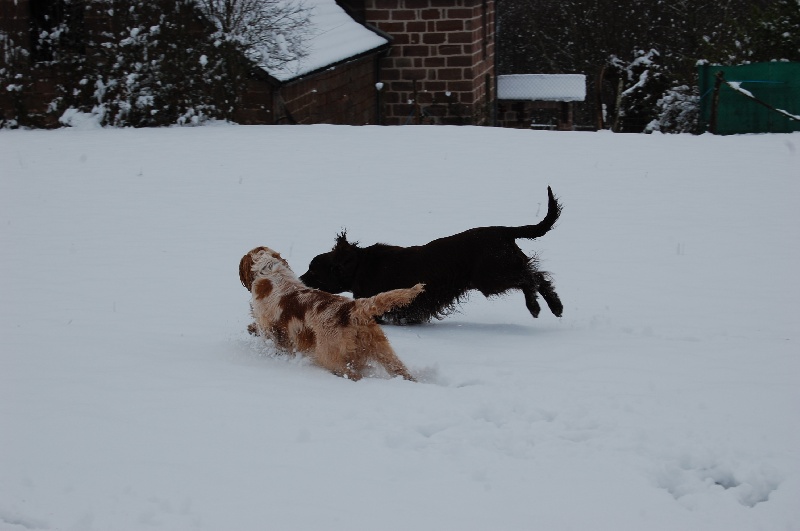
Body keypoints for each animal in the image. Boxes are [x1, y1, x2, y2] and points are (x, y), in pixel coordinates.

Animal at [239, 246, 424, 381]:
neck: (270, 272)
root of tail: (353, 308)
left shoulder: (268, 328)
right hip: (384, 351)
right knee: (401, 371)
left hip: (330, 358)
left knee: (353, 375)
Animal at [299, 187, 563, 324]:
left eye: (313, 269)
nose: (300, 279)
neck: (359, 265)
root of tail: (503, 231)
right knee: (539, 277)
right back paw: (554, 307)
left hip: (491, 278)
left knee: (531, 278)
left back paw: (536, 306)